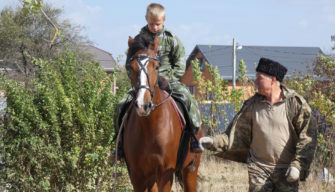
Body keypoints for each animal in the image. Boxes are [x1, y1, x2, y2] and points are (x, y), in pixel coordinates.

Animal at [123, 33, 202, 191]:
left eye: (156, 66)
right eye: (131, 67)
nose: (143, 105)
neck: (150, 127)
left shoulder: (165, 174)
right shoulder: (137, 175)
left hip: (190, 170)